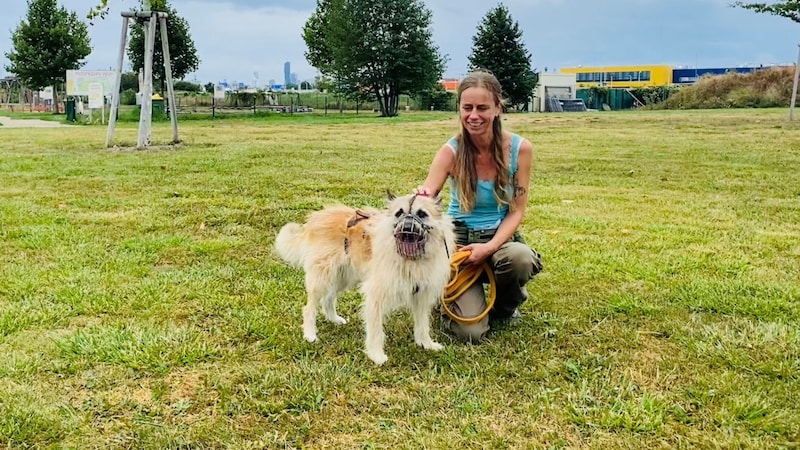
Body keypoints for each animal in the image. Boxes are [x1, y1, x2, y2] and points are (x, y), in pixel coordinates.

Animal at [276, 192, 454, 364]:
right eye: (399, 213)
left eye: (422, 214)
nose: (407, 227)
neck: (410, 260)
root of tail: (317, 217)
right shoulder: (376, 295)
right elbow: (376, 329)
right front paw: (376, 355)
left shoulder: (421, 295)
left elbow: (423, 324)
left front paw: (426, 343)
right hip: (323, 277)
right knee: (309, 308)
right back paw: (310, 334)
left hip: (342, 276)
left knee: (328, 298)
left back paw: (334, 319)